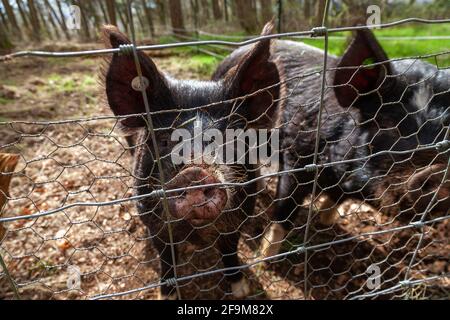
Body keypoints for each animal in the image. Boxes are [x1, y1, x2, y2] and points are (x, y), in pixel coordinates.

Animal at [215, 28, 450, 260]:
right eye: (387, 124)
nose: (438, 172)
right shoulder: (296, 159)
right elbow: (284, 213)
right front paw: (263, 259)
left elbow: (335, 201)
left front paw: (326, 221)